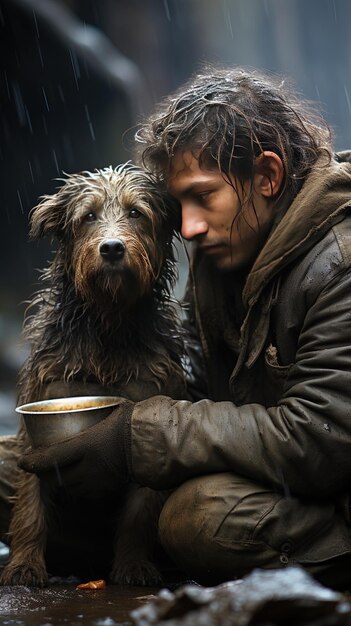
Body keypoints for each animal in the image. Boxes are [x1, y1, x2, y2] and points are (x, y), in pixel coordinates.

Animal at [0, 161, 187, 584]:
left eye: (136, 212)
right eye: (88, 216)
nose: (113, 248)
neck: (108, 324)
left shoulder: (148, 401)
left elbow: (140, 506)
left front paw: (133, 564)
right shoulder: (42, 399)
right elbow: (30, 501)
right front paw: (24, 564)